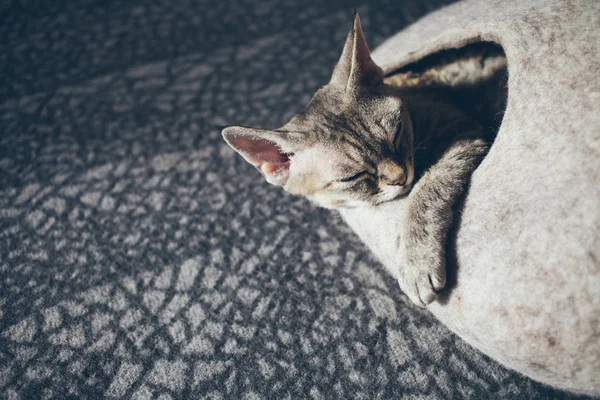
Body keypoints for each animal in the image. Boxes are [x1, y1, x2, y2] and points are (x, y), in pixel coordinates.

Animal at [223, 12, 494, 306]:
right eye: (353, 176)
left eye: (397, 134)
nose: (400, 177)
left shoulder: (464, 132)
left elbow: (427, 189)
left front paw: (416, 260)